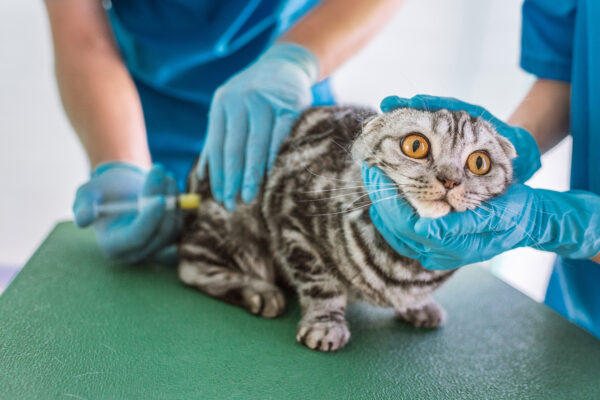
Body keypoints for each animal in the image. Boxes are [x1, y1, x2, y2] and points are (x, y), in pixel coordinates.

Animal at [177, 104, 516, 352]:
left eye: (479, 163)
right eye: (416, 145)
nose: (450, 180)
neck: (407, 264)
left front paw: (419, 306)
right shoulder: (292, 221)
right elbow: (321, 284)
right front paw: (326, 324)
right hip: (235, 229)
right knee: (190, 264)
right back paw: (259, 291)